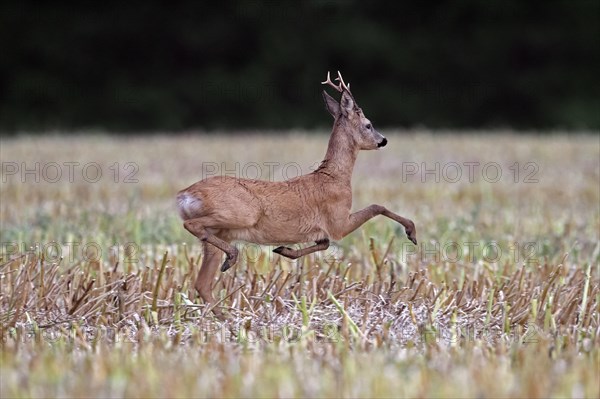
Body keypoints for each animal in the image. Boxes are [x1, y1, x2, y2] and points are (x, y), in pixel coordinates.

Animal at [176, 70, 414, 304]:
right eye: (368, 124)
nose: (383, 140)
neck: (335, 178)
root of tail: (184, 195)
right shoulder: (338, 221)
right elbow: (376, 207)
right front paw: (411, 231)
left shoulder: (326, 228)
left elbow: (324, 242)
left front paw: (284, 249)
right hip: (240, 215)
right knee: (192, 226)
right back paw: (232, 257)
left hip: (222, 232)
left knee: (202, 283)